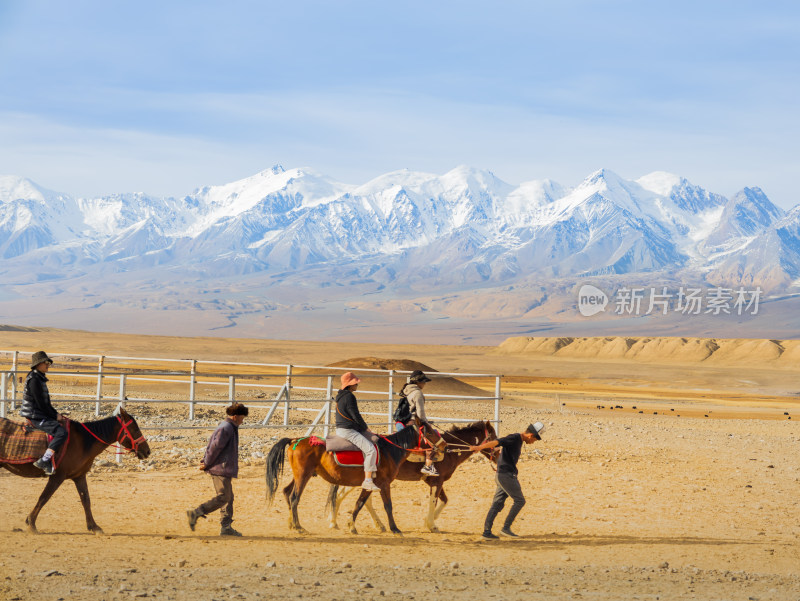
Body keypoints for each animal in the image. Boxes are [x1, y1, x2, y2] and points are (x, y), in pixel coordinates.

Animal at [0, 408, 150, 528]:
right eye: (135, 429)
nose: (147, 451)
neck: (83, 442)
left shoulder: (79, 476)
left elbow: (86, 500)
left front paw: (94, 526)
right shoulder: (57, 477)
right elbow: (44, 497)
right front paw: (31, 523)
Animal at [324, 420, 494, 532]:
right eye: (492, 436)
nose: (498, 453)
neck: (450, 450)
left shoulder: (435, 481)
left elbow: (444, 500)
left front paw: (429, 521)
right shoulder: (437, 481)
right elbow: (434, 500)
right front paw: (431, 524)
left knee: (350, 497)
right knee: (343, 495)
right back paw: (336, 522)